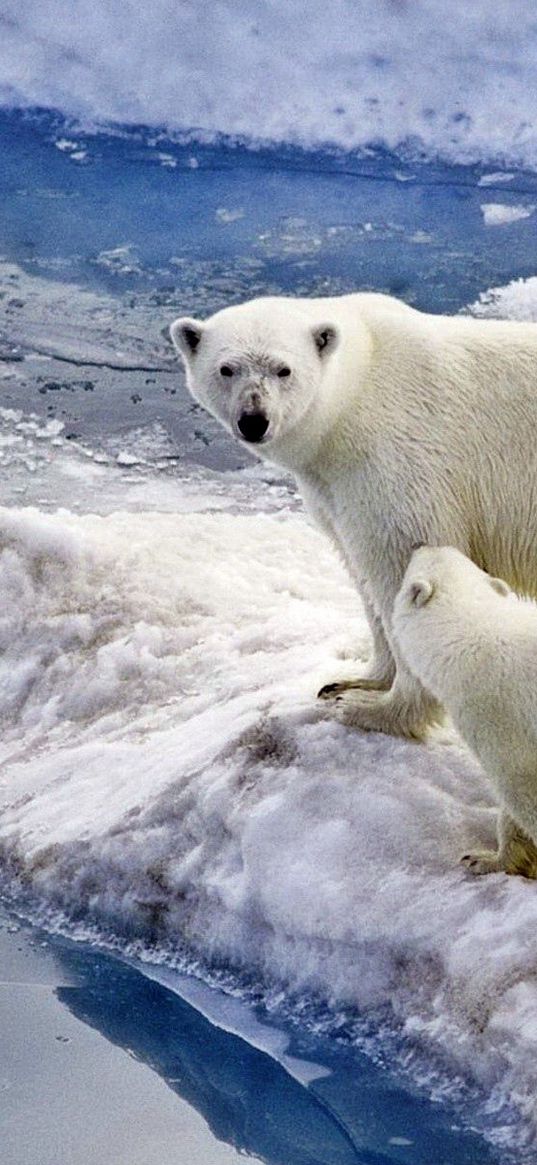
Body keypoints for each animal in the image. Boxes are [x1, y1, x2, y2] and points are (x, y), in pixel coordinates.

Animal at [170, 295, 535, 740]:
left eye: (283, 369)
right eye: (226, 368)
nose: (254, 420)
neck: (355, 391)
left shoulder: (397, 459)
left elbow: (401, 563)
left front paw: (375, 710)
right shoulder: (331, 485)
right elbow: (358, 568)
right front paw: (352, 681)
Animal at [389, 549, 535, 876]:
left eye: (412, 569)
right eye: (457, 555)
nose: (421, 544)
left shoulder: (502, 718)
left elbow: (521, 792)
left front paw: (486, 860)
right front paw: (486, 858)